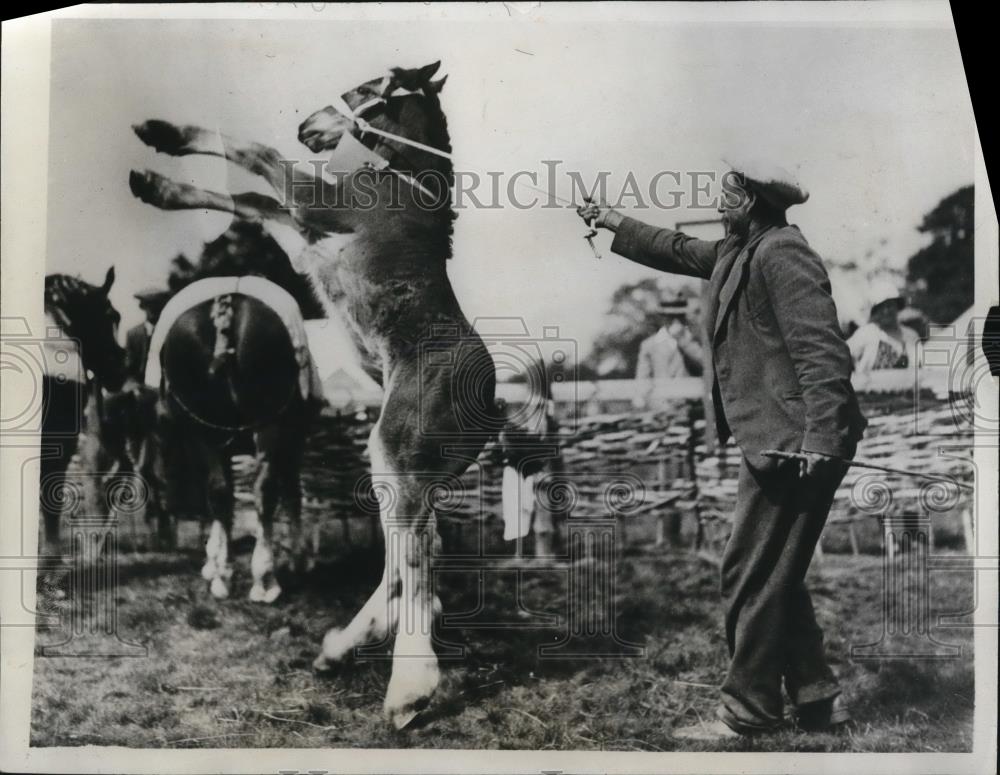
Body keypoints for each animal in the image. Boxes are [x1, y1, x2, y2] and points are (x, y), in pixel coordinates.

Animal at [127, 60, 498, 728]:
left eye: (369, 85)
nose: (309, 125)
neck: (405, 182)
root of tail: (491, 403)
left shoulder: (315, 205)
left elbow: (258, 158)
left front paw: (163, 137)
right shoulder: (302, 224)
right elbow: (252, 198)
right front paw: (155, 185)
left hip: (398, 450)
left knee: (410, 550)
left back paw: (408, 689)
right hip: (405, 465)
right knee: (412, 545)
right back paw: (343, 648)